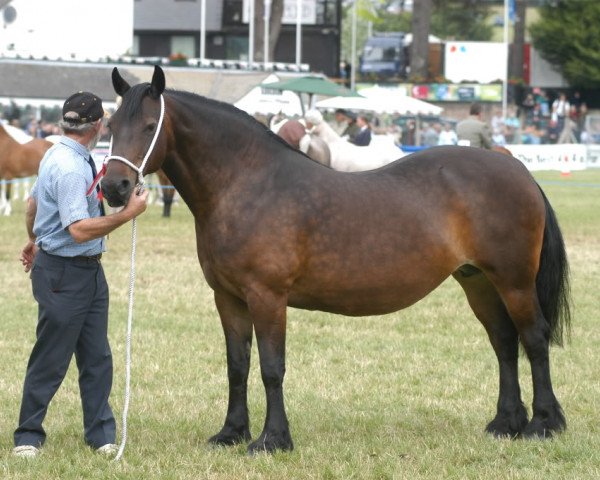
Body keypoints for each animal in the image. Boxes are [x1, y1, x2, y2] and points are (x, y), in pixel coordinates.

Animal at [102, 66, 572, 454]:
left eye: (149, 126)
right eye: (111, 124)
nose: (114, 187)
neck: (248, 184)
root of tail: (516, 168)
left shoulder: (267, 297)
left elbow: (271, 367)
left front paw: (272, 440)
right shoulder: (228, 298)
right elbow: (238, 365)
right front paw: (231, 433)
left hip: (513, 282)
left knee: (534, 339)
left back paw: (543, 425)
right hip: (478, 281)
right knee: (504, 343)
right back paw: (505, 423)